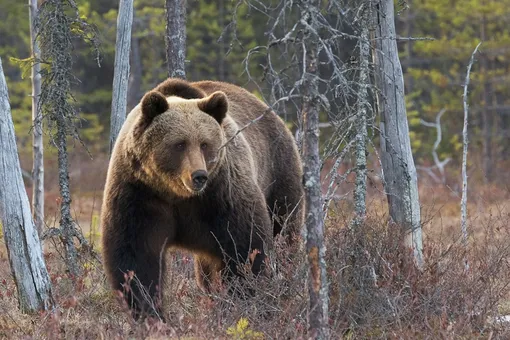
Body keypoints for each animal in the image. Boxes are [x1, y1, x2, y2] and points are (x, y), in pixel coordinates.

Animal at [101, 78, 304, 320]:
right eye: (179, 143)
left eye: (205, 143)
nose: (199, 175)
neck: (177, 194)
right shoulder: (139, 193)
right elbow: (136, 256)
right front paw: (149, 311)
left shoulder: (222, 194)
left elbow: (245, 247)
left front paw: (243, 300)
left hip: (278, 174)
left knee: (284, 231)